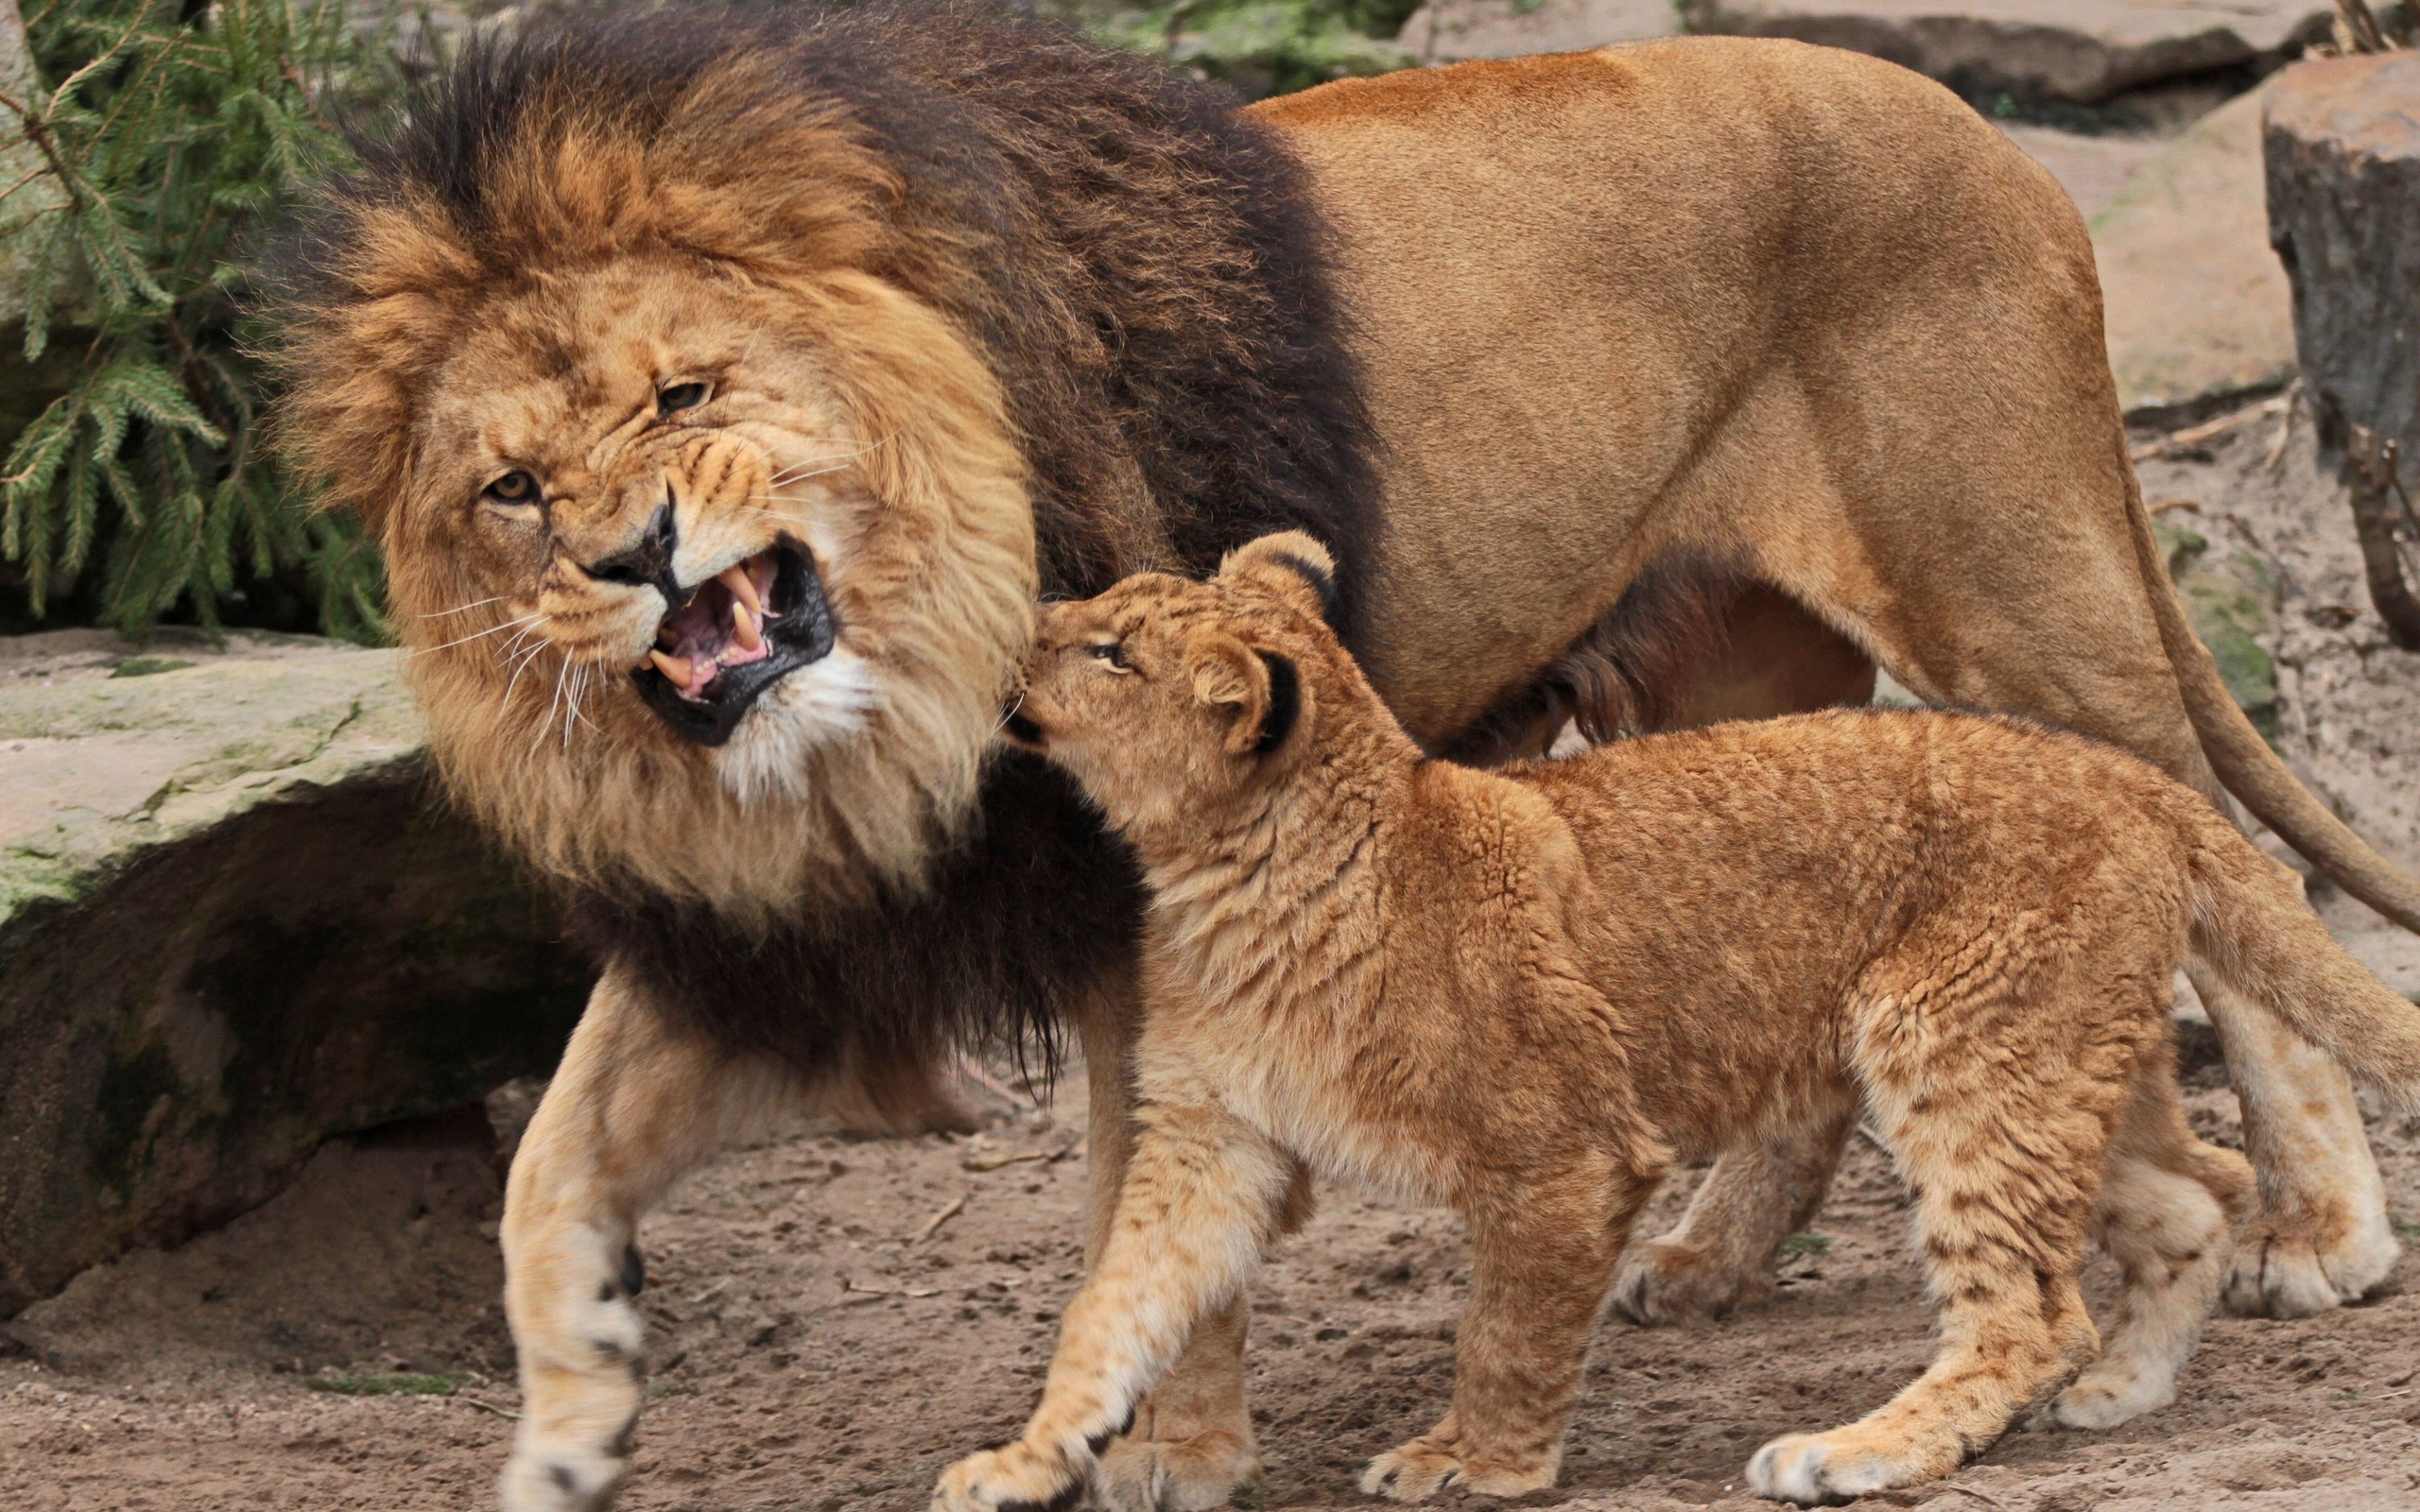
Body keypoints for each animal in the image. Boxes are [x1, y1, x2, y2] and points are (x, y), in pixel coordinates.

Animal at [929, 529, 2420, 1509]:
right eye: (1102, 610)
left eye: (1109, 652)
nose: (1017, 632)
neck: (1224, 873)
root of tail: (2133, 778)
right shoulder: (1210, 1138)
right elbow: (1112, 1306)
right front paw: (1023, 1459)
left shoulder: (1567, 1152)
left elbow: (1508, 1328)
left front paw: (1475, 1462)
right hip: (2046, 1064)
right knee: (2192, 1194)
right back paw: (2120, 1392)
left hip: (1947, 1043)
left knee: (2027, 1313)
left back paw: (1855, 1452)